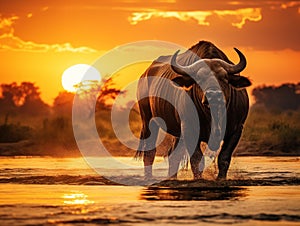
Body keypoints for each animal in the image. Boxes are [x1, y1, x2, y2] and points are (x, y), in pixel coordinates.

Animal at [136, 40, 251, 180]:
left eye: (224, 78)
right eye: (199, 78)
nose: (213, 95)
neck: (212, 115)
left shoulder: (236, 129)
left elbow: (224, 157)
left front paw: (220, 178)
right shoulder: (189, 129)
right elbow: (197, 159)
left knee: (173, 154)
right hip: (148, 121)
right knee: (149, 152)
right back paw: (149, 178)